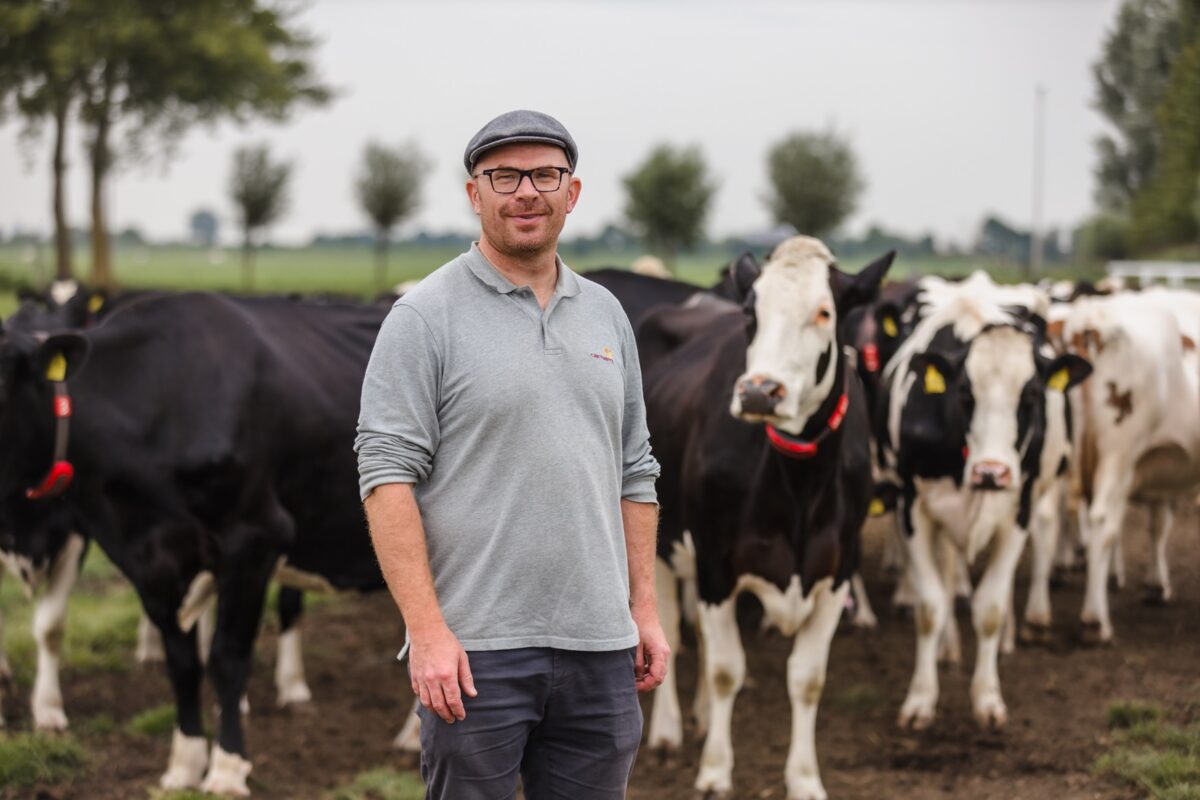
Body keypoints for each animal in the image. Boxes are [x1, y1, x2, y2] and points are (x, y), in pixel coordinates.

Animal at [0, 293, 388, 796]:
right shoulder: (149, 559)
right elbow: (181, 661)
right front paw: (184, 764)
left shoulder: (255, 538)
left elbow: (227, 657)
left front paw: (226, 769)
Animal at [638, 235, 892, 796]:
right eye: (752, 314)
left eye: (824, 312)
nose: (758, 391)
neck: (798, 485)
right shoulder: (715, 564)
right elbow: (726, 669)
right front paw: (715, 771)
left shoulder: (837, 572)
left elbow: (807, 678)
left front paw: (804, 778)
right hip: (662, 543)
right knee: (672, 632)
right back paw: (666, 732)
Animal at [878, 275, 1094, 734]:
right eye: (964, 393)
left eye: (1031, 395)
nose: (992, 471)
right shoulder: (913, 509)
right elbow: (931, 605)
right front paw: (921, 699)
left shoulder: (1018, 511)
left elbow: (990, 608)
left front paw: (987, 698)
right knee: (947, 574)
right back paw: (948, 649)